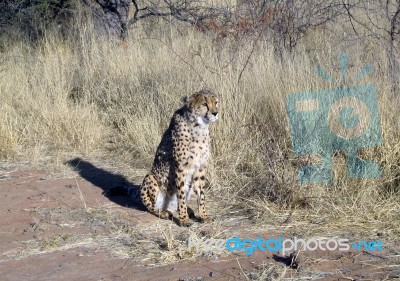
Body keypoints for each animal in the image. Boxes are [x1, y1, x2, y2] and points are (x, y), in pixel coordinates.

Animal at [139, 89, 217, 225]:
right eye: (204, 104)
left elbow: (201, 194)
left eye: (216, 102)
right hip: (150, 177)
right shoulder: (181, 167)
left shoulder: (200, 166)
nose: (215, 113)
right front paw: (184, 219)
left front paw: (203, 215)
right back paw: (164, 212)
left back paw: (187, 211)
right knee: (151, 207)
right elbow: (181, 193)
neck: (199, 127)